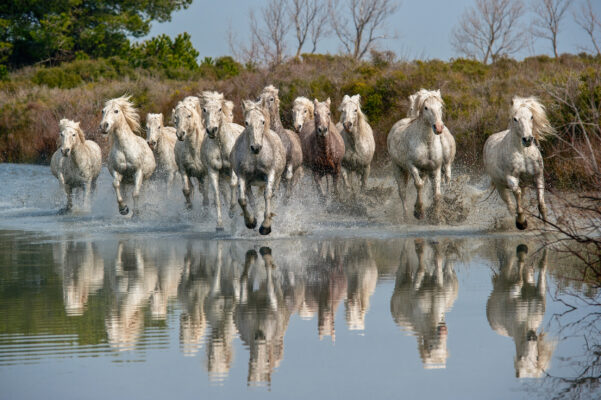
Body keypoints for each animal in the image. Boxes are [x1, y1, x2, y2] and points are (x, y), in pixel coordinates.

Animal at [199, 90, 241, 228]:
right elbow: (217, 196)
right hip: (223, 177)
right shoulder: (213, 171)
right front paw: (219, 225)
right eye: (204, 109)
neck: (220, 144)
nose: (212, 130)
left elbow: (233, 184)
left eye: (220, 109)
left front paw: (232, 211)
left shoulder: (233, 169)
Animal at [230, 100, 286, 236]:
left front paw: (266, 226)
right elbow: (242, 200)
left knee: (272, 195)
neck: (256, 157)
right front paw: (251, 222)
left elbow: (268, 195)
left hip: (276, 180)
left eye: (263, 121)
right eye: (246, 122)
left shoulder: (270, 174)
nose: (256, 147)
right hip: (250, 183)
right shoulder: (242, 176)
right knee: (252, 200)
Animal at [390, 89, 446, 220]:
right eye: (426, 107)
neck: (427, 142)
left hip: (424, 171)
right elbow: (419, 185)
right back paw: (406, 217)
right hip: (398, 168)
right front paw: (419, 211)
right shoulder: (412, 166)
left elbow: (437, 194)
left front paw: (436, 216)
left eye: (440, 107)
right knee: (402, 193)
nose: (438, 127)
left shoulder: (435, 168)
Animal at [482, 95, 552, 230]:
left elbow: (541, 203)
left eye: (531, 116)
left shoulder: (538, 175)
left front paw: (548, 227)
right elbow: (517, 196)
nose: (527, 139)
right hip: (500, 186)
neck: (523, 153)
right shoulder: (512, 178)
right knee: (510, 204)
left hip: (523, 184)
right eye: (515, 119)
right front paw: (521, 222)